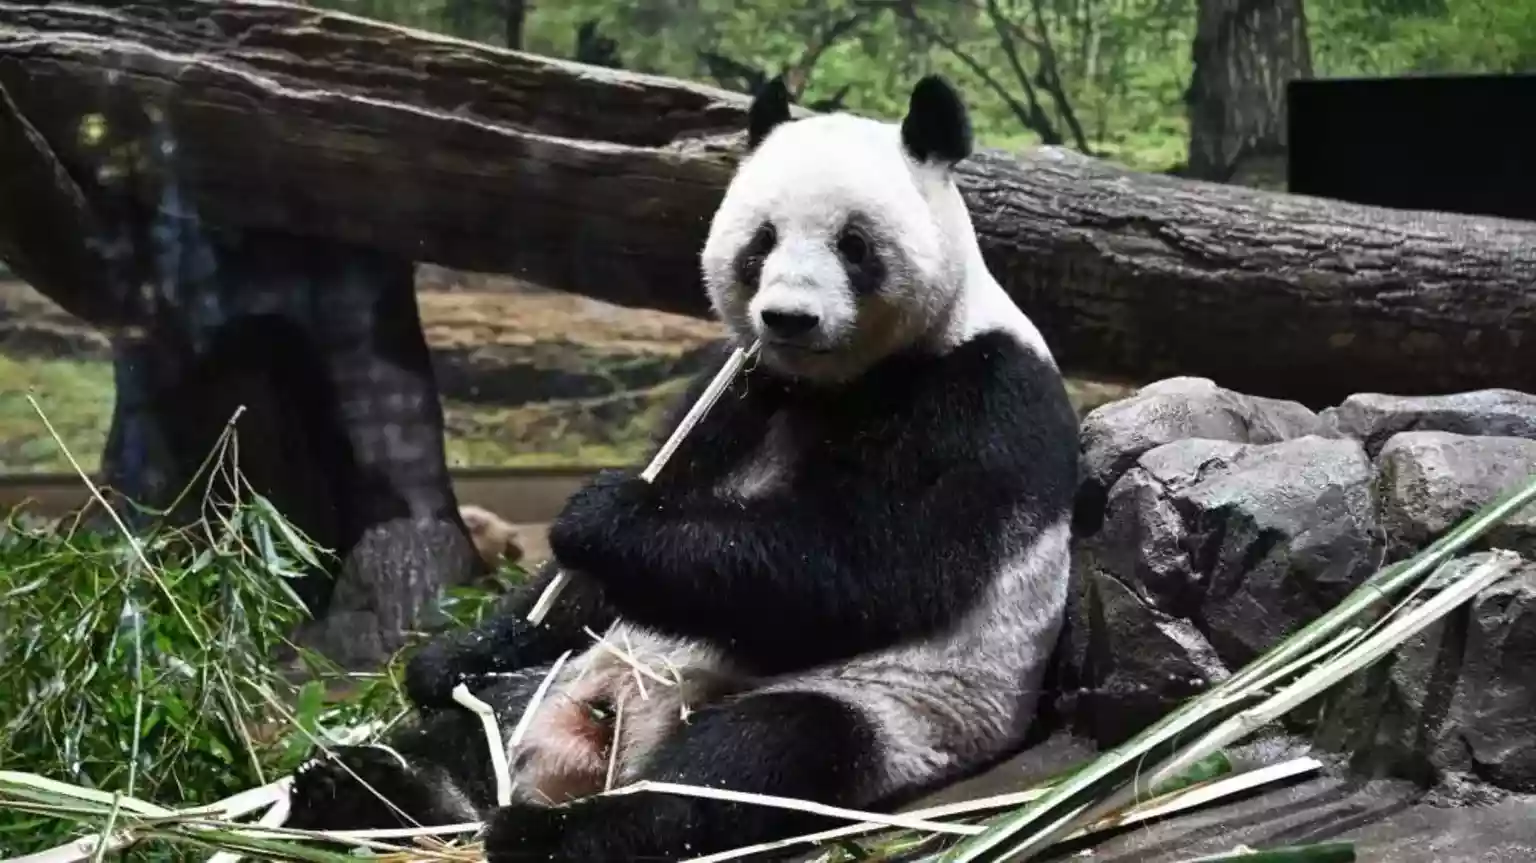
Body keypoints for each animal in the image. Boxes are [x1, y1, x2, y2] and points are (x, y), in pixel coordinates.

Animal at [283, 73, 1079, 862]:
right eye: (762, 241)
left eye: (854, 244)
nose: (788, 318)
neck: (832, 384)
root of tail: (599, 748)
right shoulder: (736, 389)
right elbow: (582, 585)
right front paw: (447, 659)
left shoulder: (976, 396)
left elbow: (866, 567)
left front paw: (605, 517)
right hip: (556, 681)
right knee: (470, 733)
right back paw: (367, 788)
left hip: (890, 710)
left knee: (751, 760)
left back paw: (555, 832)